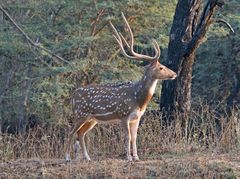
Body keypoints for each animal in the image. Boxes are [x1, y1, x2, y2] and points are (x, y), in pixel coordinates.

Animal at [65, 11, 176, 162]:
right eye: (161, 67)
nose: (174, 74)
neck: (138, 100)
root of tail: (73, 95)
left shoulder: (137, 118)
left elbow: (134, 137)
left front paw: (136, 157)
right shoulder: (123, 115)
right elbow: (127, 137)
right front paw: (128, 157)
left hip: (91, 119)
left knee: (81, 133)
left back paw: (88, 158)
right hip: (80, 113)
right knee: (71, 131)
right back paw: (67, 158)